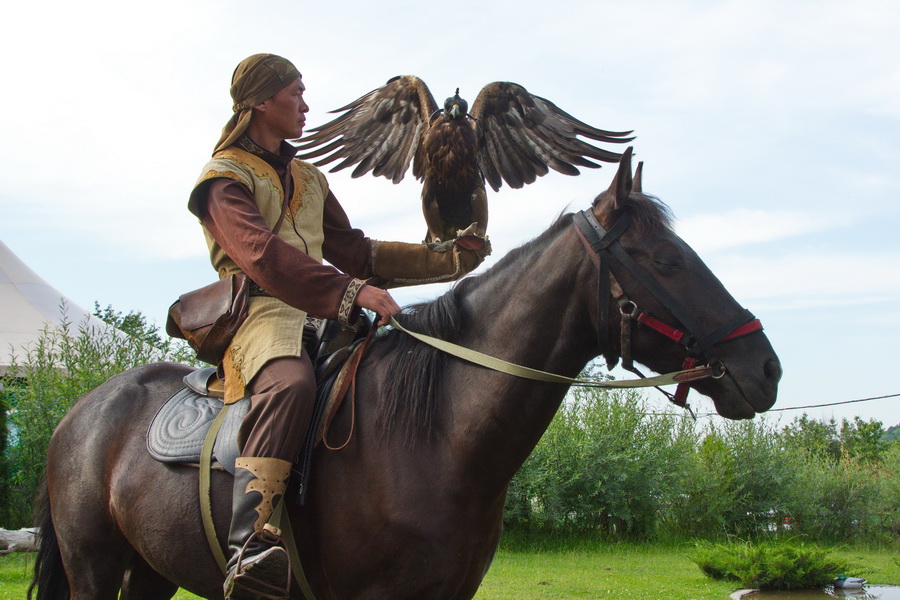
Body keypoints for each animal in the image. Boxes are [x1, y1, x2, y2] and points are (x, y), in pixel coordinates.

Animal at [28, 151, 772, 600]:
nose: (764, 368)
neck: (437, 436)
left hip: (151, 570)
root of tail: (79, 415)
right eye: (667, 261)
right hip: (94, 568)